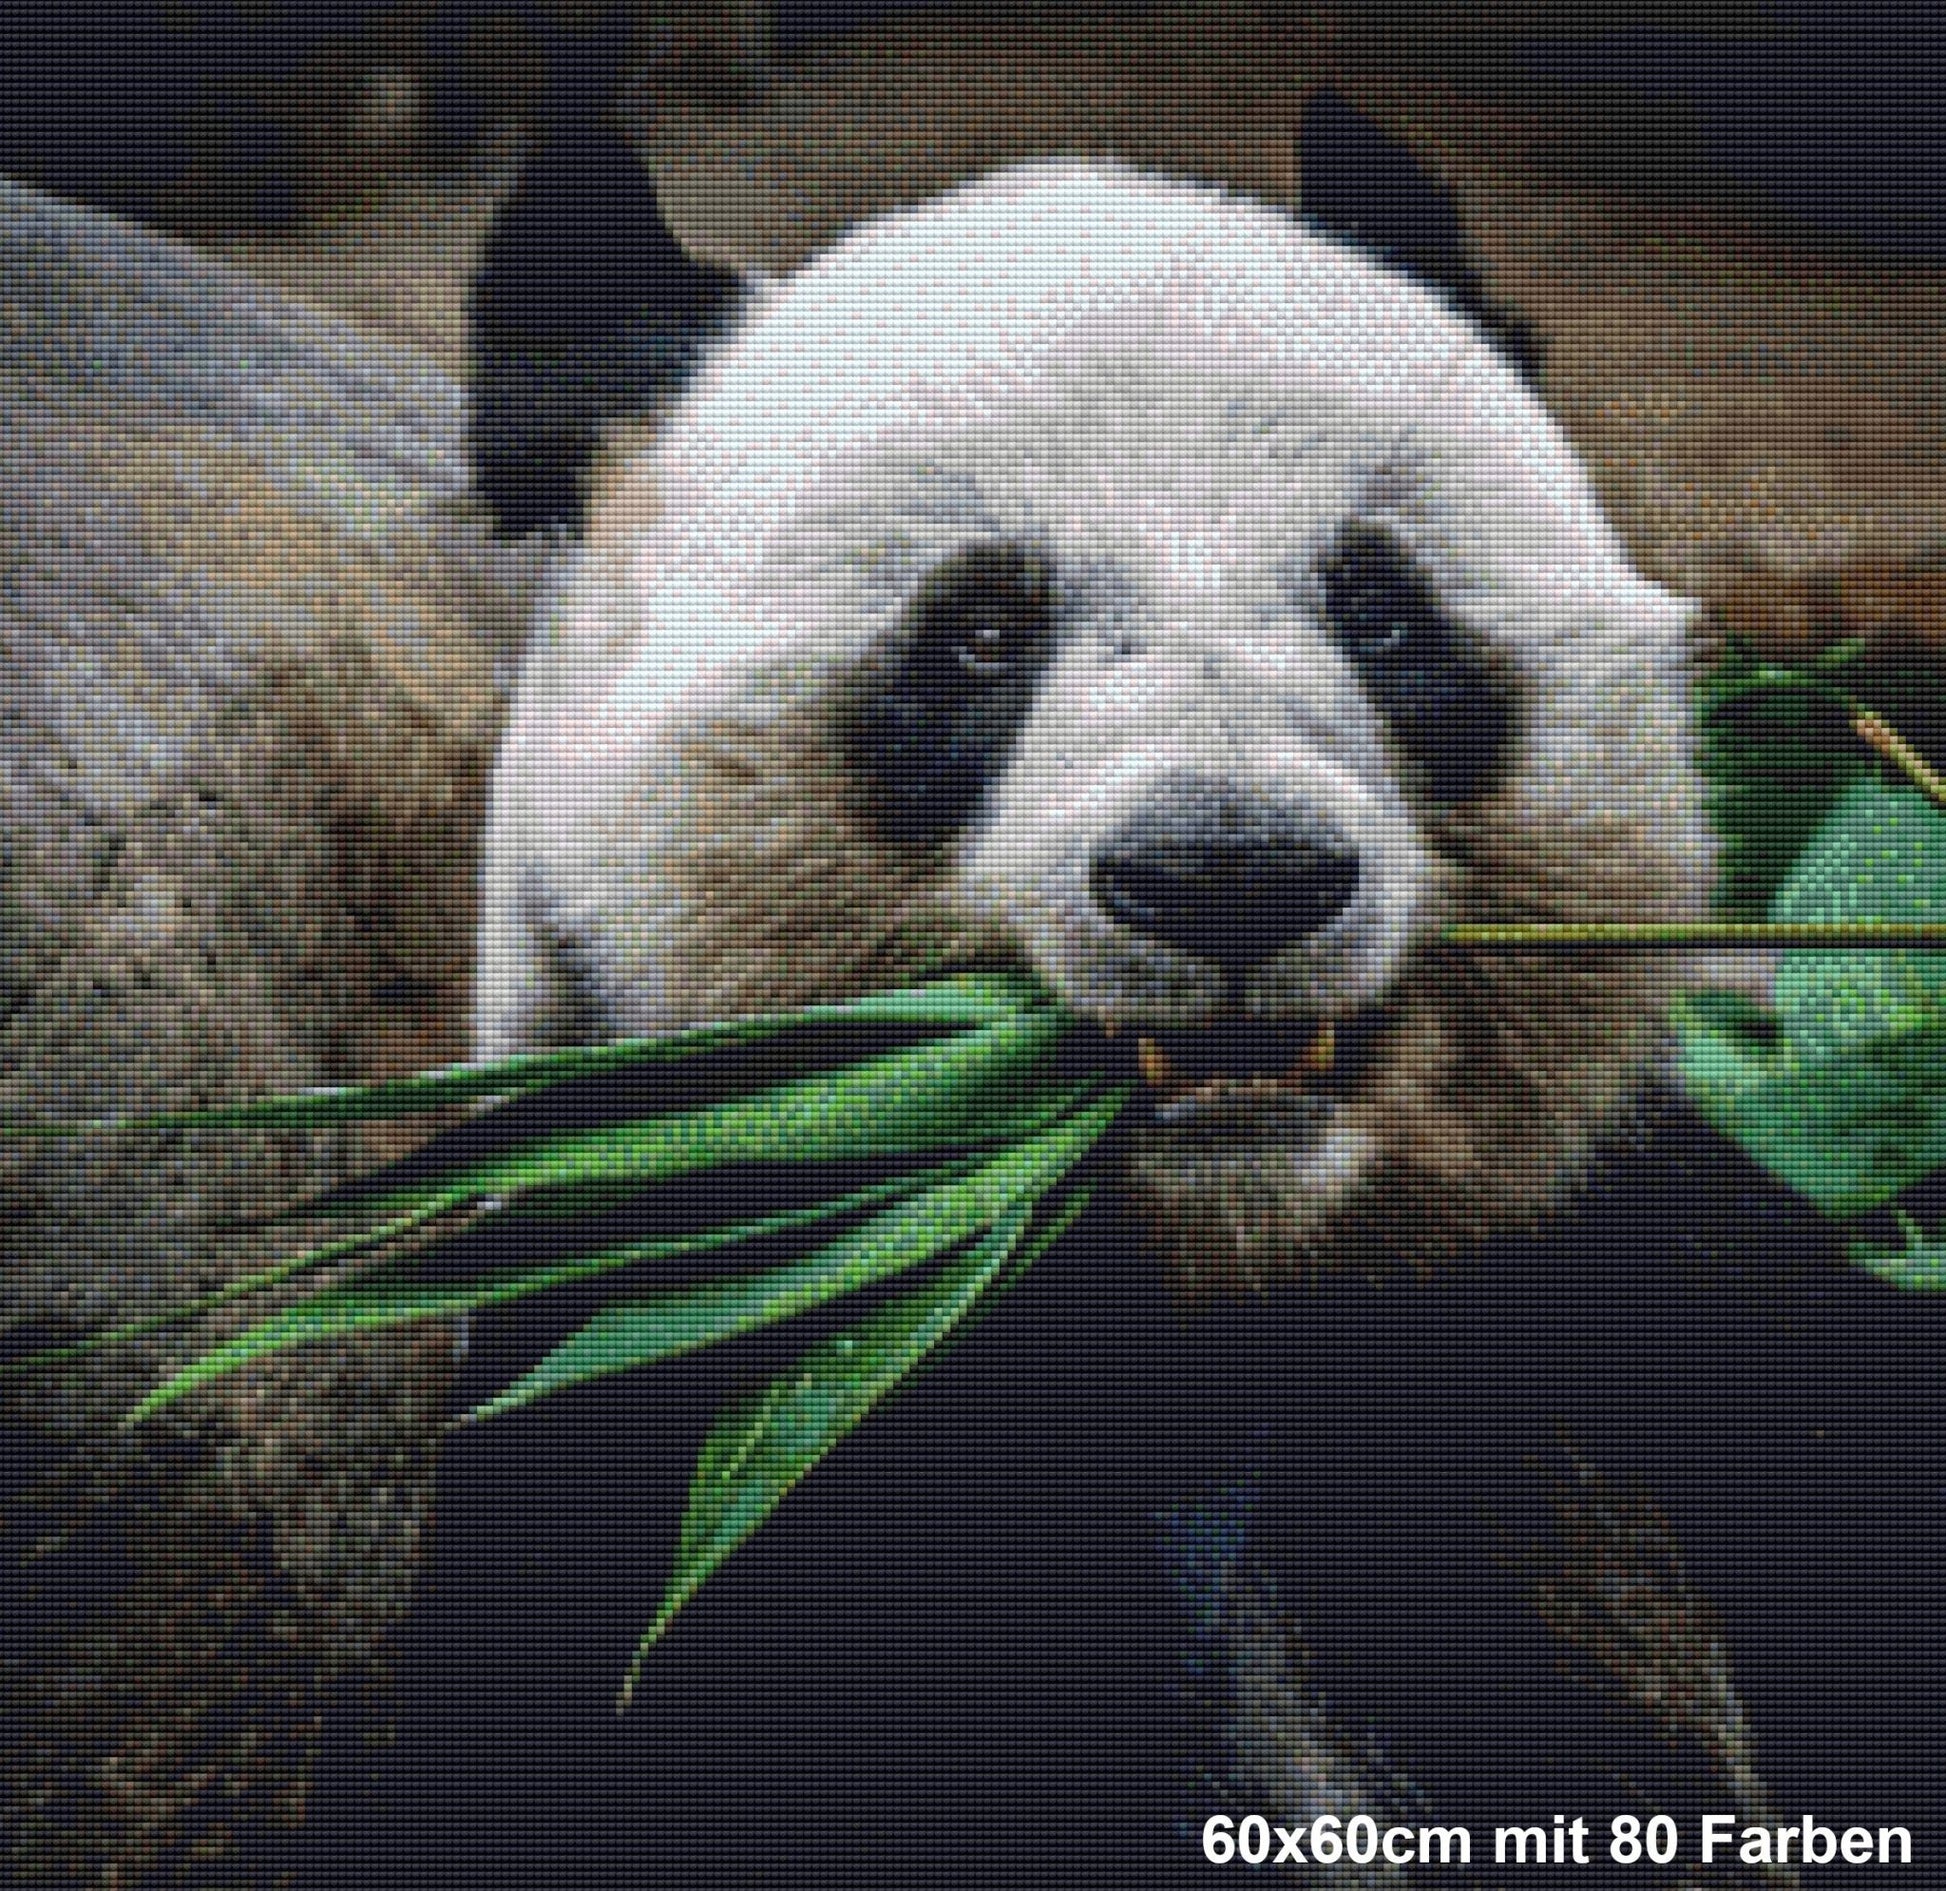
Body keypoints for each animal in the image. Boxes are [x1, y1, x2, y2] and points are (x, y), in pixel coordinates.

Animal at [298, 96, 1945, 1889]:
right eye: (979, 631)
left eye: (1377, 606)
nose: (1231, 873)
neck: (1202, 1283)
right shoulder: (714, 1439)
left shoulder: (1623, 1318)